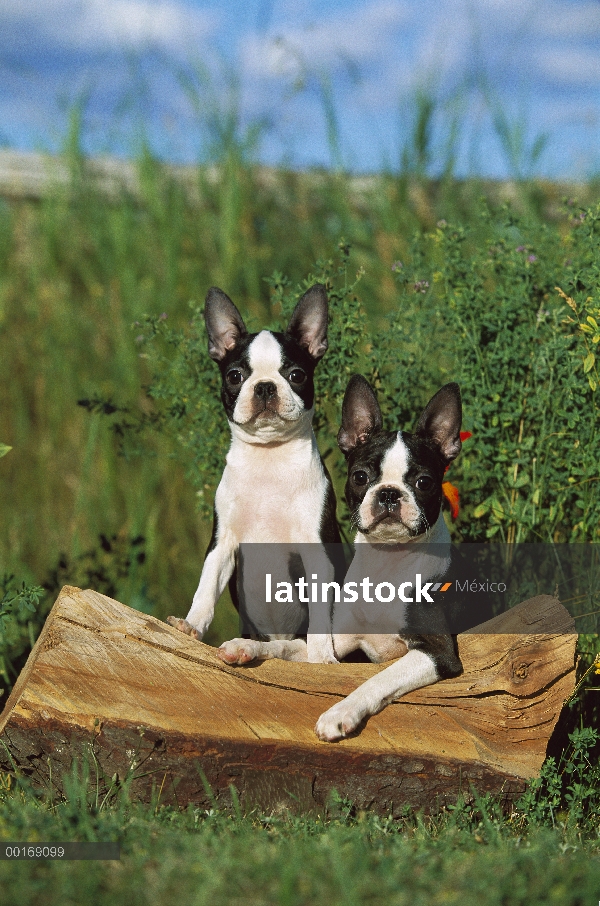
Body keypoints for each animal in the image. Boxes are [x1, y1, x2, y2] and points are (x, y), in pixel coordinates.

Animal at [168, 286, 342, 660]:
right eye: (235, 376)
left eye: (296, 375)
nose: (264, 386)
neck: (269, 459)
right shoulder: (223, 542)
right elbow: (206, 588)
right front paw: (191, 625)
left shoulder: (318, 550)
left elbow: (322, 612)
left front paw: (324, 655)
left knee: (291, 646)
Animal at [314, 374, 464, 740]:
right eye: (360, 477)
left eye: (424, 482)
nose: (389, 493)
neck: (387, 562)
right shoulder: (340, 642)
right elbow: (291, 648)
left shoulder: (437, 652)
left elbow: (377, 679)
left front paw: (340, 712)